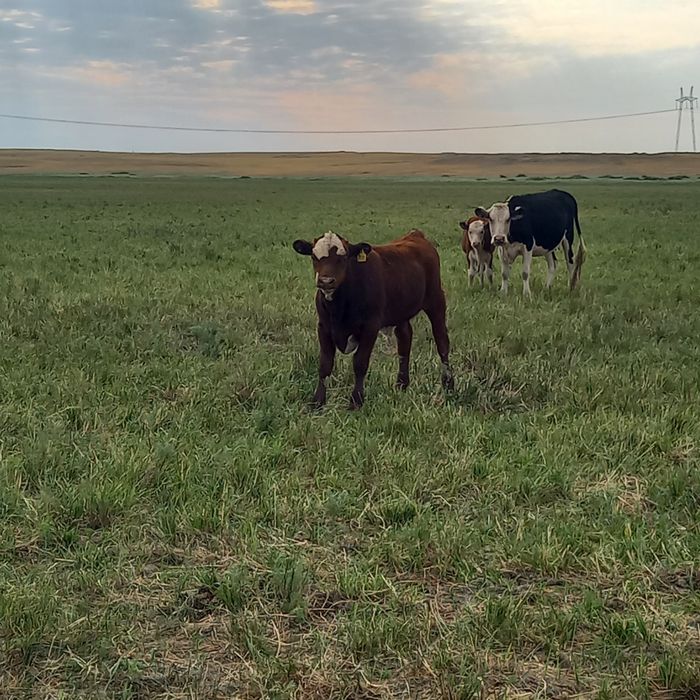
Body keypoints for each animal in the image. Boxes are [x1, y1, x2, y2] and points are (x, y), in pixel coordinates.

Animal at [292, 229, 454, 409]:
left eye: (343, 257)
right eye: (314, 256)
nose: (326, 281)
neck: (339, 307)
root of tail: (415, 235)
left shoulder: (370, 327)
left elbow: (360, 363)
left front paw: (356, 400)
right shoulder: (324, 327)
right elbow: (325, 364)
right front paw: (317, 401)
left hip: (436, 300)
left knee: (442, 342)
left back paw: (448, 385)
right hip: (401, 310)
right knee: (405, 341)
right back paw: (401, 384)